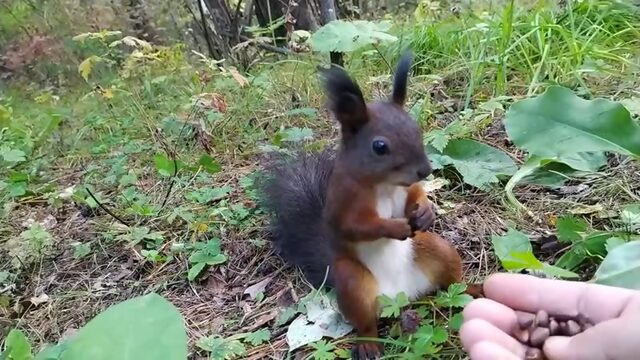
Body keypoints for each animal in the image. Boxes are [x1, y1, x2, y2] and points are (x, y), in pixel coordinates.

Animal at [258, 52, 482, 358]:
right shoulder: (344, 200)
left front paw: (426, 211)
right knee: (365, 322)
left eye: (417, 129)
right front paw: (394, 227)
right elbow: (356, 226)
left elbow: (416, 194)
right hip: (353, 282)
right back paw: (368, 344)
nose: (425, 170)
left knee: (451, 283)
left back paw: (474, 289)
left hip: (437, 249)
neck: (385, 184)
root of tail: (401, 295)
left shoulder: (407, 189)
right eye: (379, 146)